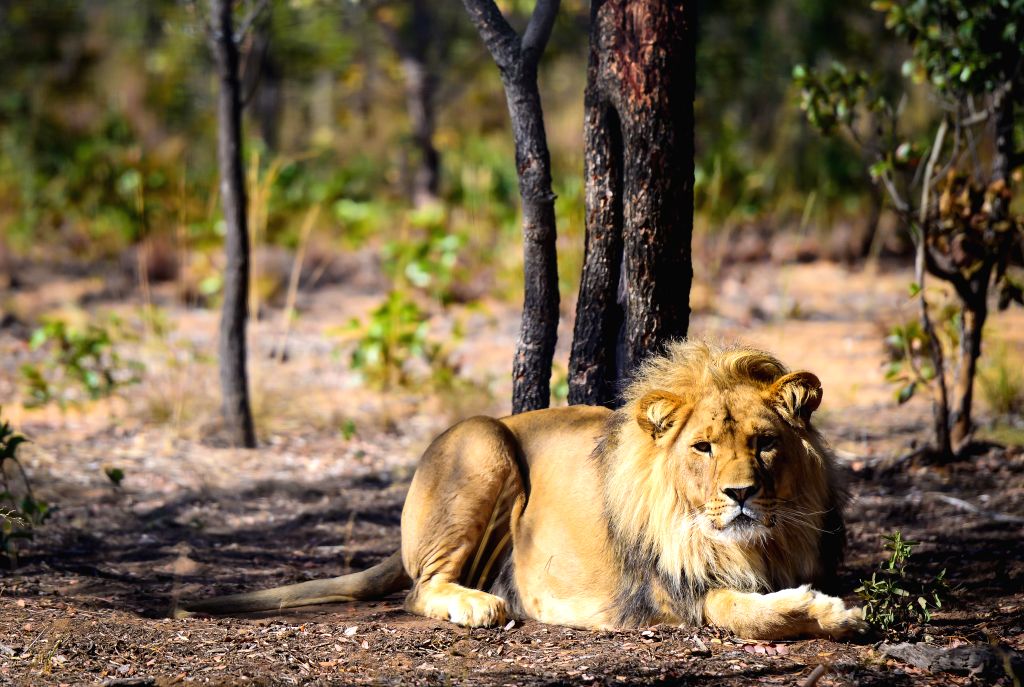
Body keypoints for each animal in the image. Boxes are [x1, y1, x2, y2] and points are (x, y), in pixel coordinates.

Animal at [177, 340, 865, 640]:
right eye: (703, 448)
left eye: (764, 443)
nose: (741, 493)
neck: (755, 544)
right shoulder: (670, 594)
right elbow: (748, 613)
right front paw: (831, 613)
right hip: (485, 443)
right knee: (422, 588)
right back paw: (478, 605)